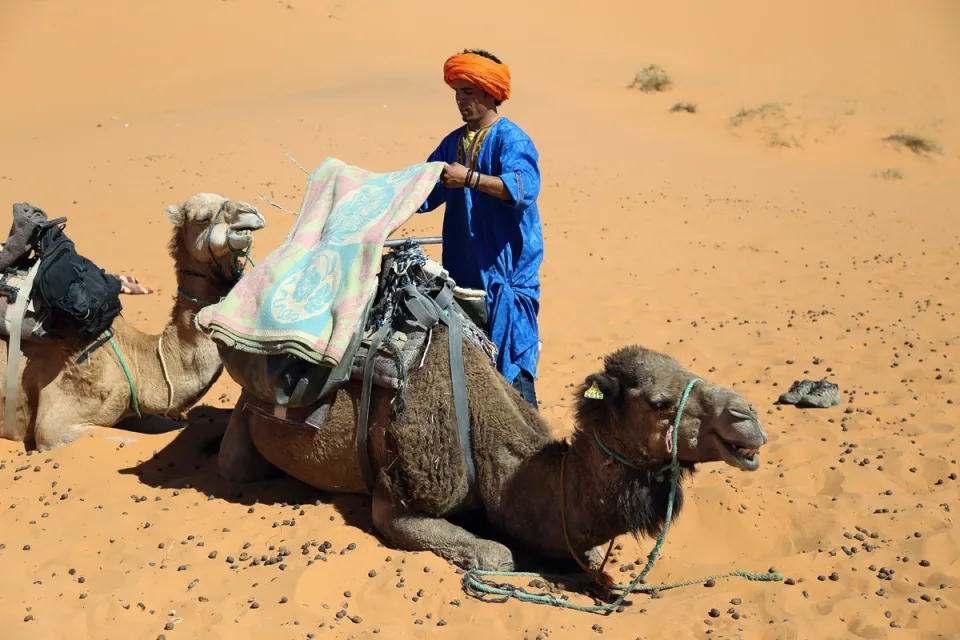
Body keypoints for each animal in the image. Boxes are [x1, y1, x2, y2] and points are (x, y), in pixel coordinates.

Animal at [218, 324, 764, 568]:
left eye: (692, 373)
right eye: (658, 402)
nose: (748, 419)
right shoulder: (400, 499)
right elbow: (499, 555)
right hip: (245, 426)